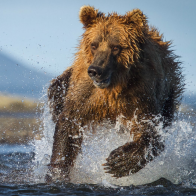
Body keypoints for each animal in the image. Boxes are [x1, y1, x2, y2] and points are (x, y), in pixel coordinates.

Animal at [46, 5, 185, 181]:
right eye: (94, 45)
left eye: (116, 47)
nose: (95, 71)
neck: (113, 87)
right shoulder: (86, 93)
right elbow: (69, 125)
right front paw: (58, 174)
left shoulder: (140, 94)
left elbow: (150, 129)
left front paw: (117, 162)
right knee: (57, 91)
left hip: (168, 93)